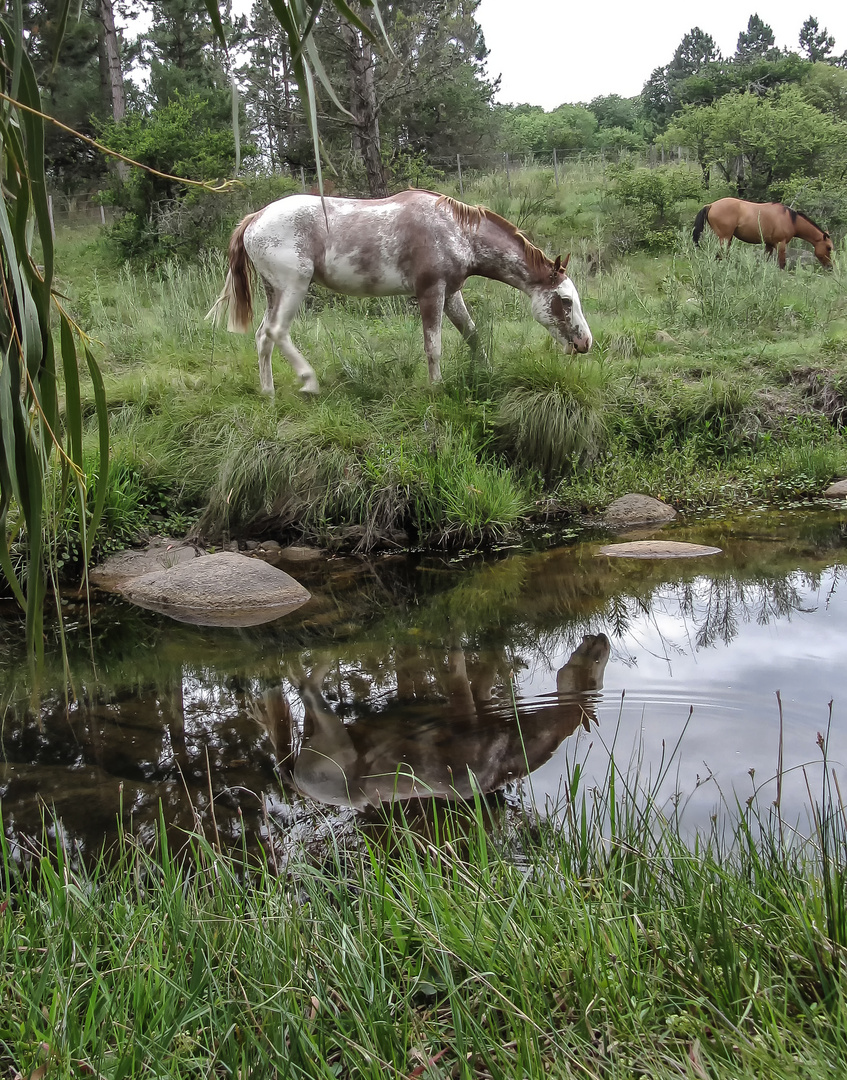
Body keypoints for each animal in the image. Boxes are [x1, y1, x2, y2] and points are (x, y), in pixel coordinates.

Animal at [208, 187, 592, 395]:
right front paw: (436, 387)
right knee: (277, 331)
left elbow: (472, 334)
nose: (585, 343)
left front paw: (486, 371)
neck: (456, 231)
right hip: (294, 286)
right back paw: (309, 381)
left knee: (263, 336)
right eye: (565, 301)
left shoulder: (451, 293)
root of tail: (254, 218)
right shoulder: (430, 293)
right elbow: (433, 347)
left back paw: (269, 392)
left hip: (275, 291)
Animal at [695, 200, 834, 272]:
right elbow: (782, 264)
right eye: (829, 248)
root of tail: (711, 205)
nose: (830, 267)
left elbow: (765, 261)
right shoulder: (780, 244)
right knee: (720, 255)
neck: (790, 219)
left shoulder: (769, 245)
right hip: (725, 238)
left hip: (727, 239)